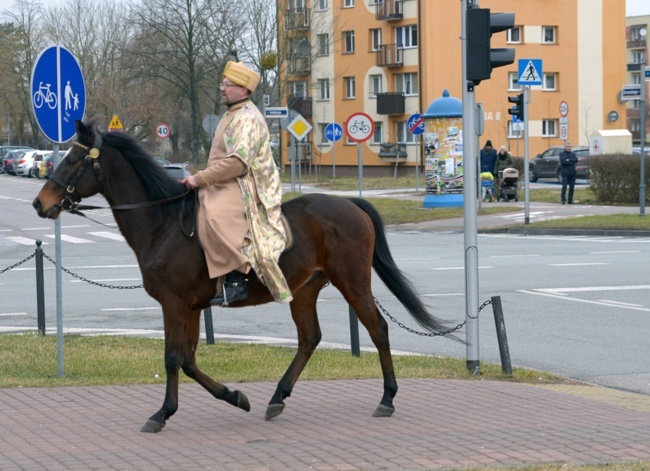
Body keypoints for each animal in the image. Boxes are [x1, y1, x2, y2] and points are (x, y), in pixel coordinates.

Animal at [31, 121, 456, 436]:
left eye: (73, 159)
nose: (40, 203)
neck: (163, 223)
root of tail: (350, 203)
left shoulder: (174, 304)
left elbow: (173, 358)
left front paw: (164, 413)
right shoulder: (191, 307)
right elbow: (188, 360)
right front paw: (234, 397)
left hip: (352, 282)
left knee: (378, 329)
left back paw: (387, 398)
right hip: (305, 290)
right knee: (309, 338)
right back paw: (278, 397)